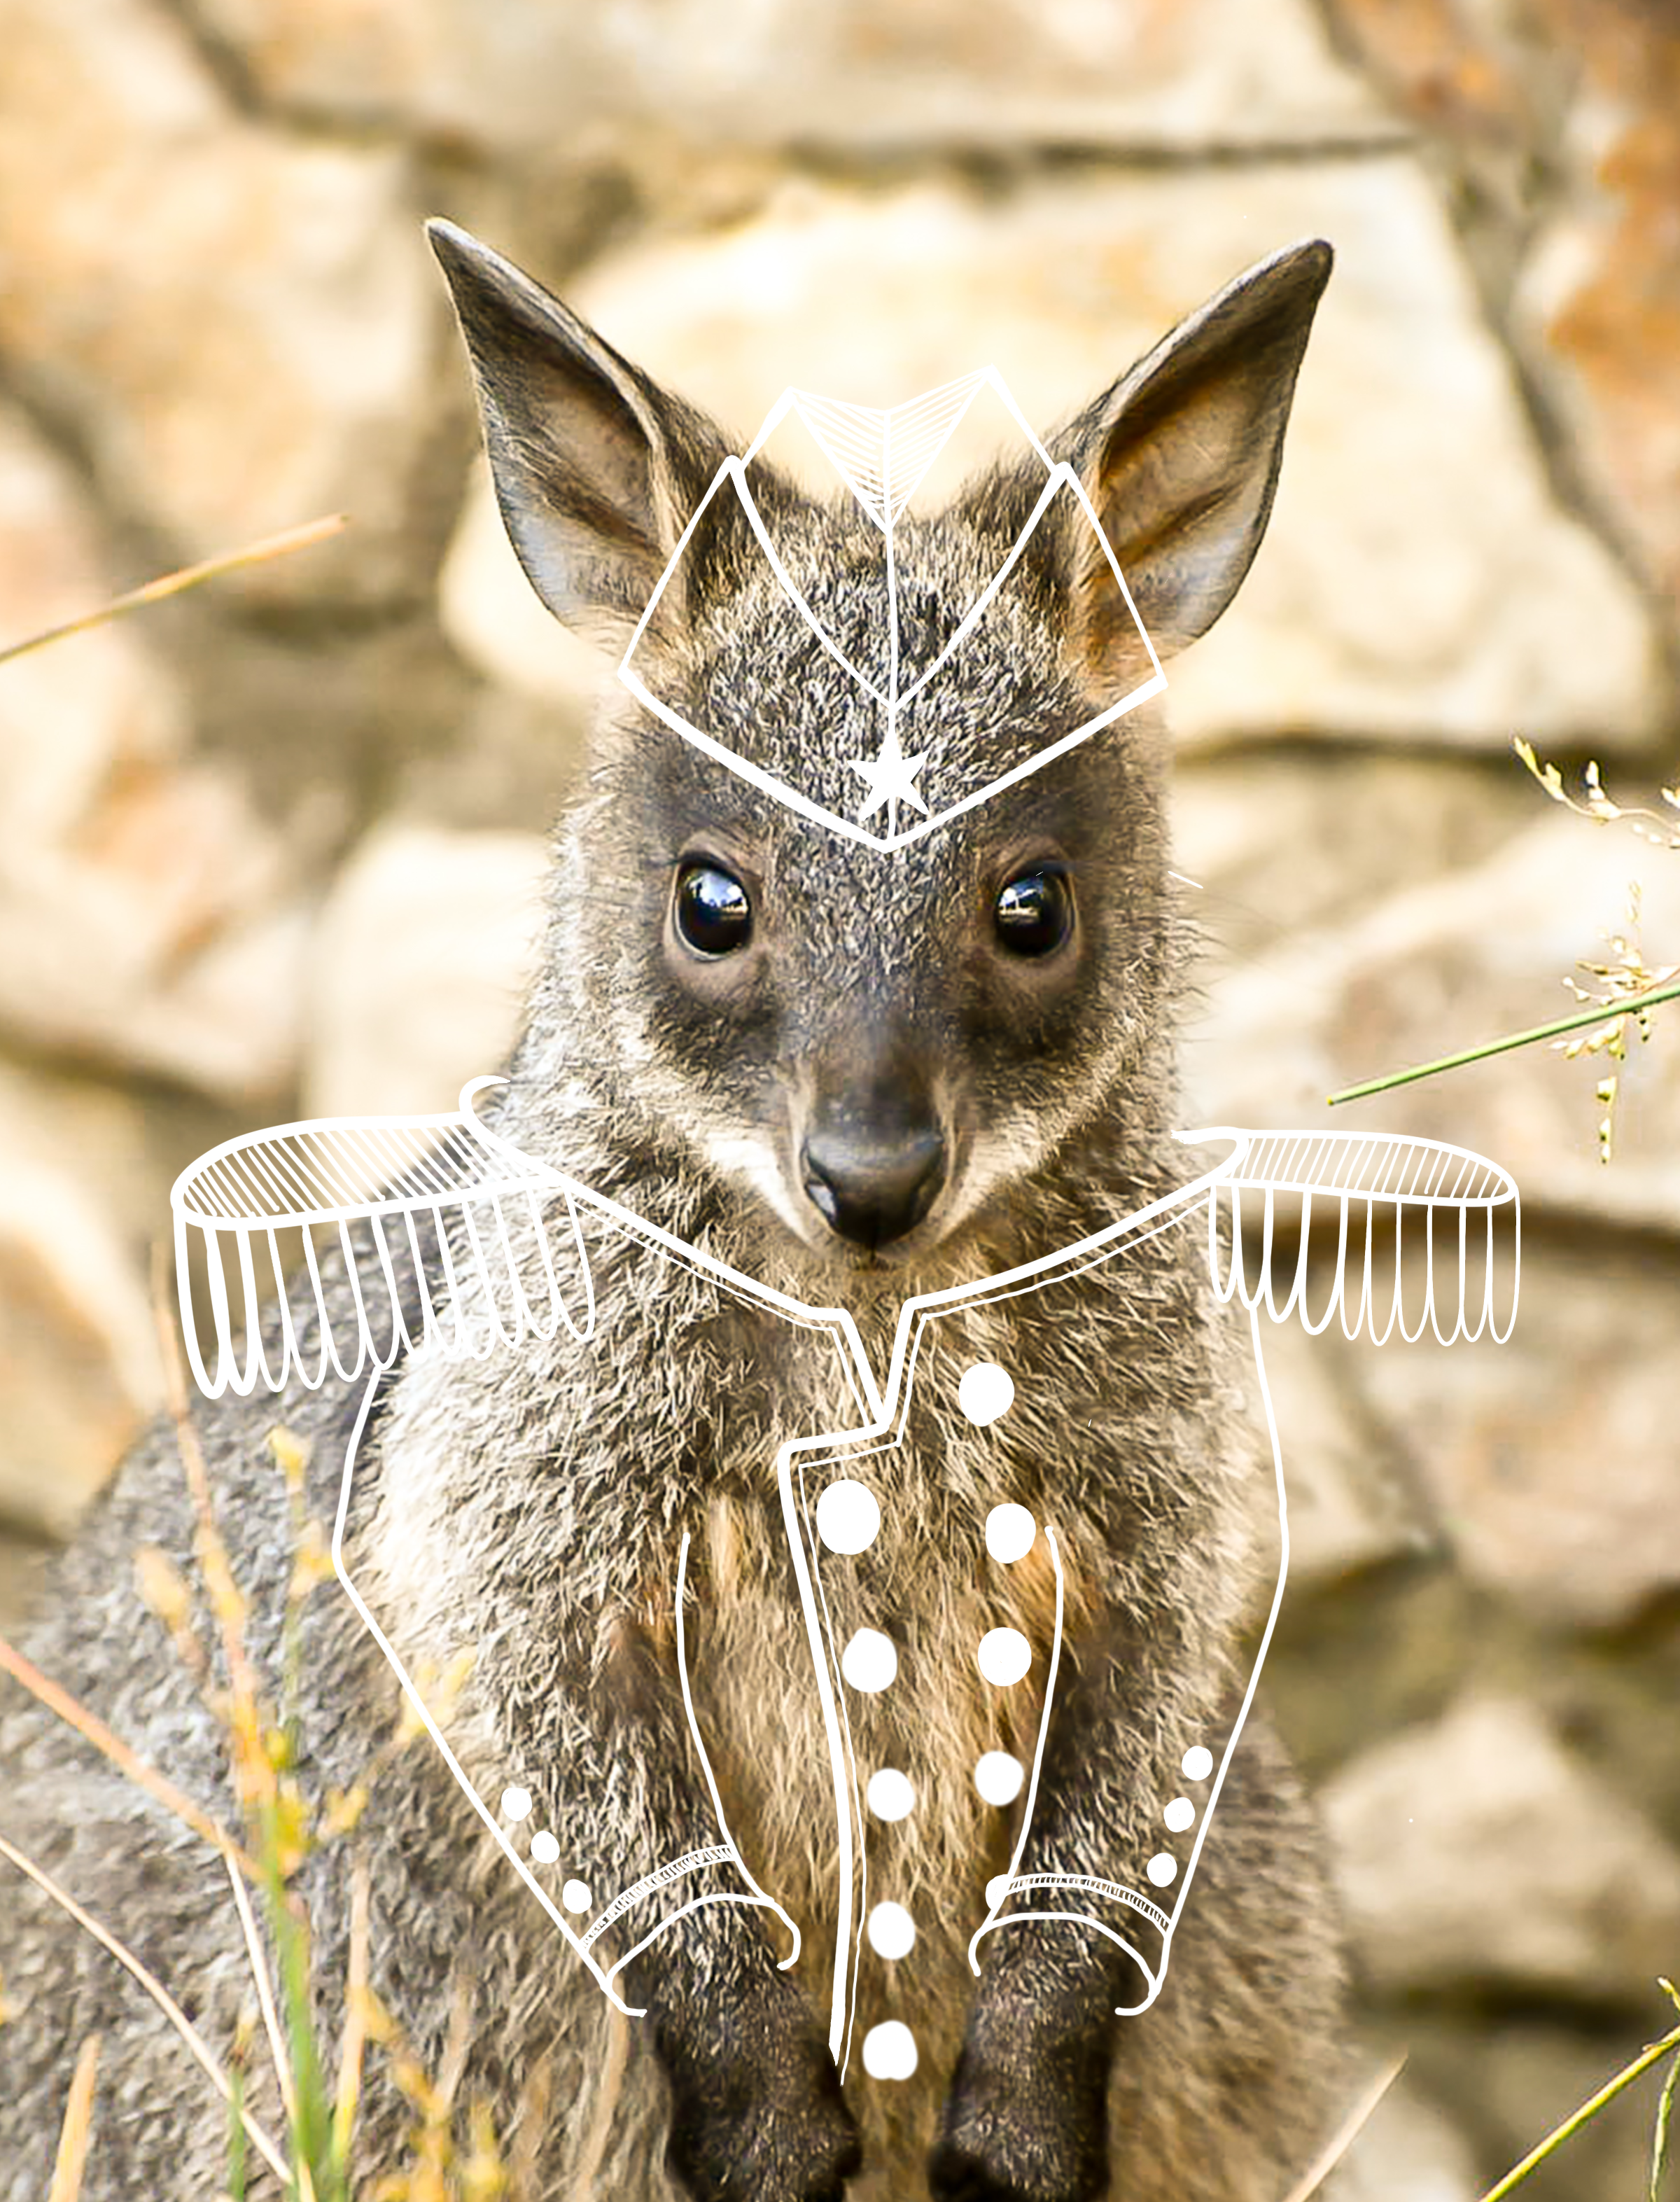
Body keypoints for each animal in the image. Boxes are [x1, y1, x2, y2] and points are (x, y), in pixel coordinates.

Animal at [0, 224, 1350, 2201]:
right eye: (714, 900)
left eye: (1030, 906)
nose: (872, 1178)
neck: (868, 1325)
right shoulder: (499, 1503)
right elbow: (613, 1807)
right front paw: (778, 2135)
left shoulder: (1161, 1505)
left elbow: (1120, 1772)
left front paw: (1013, 2134)